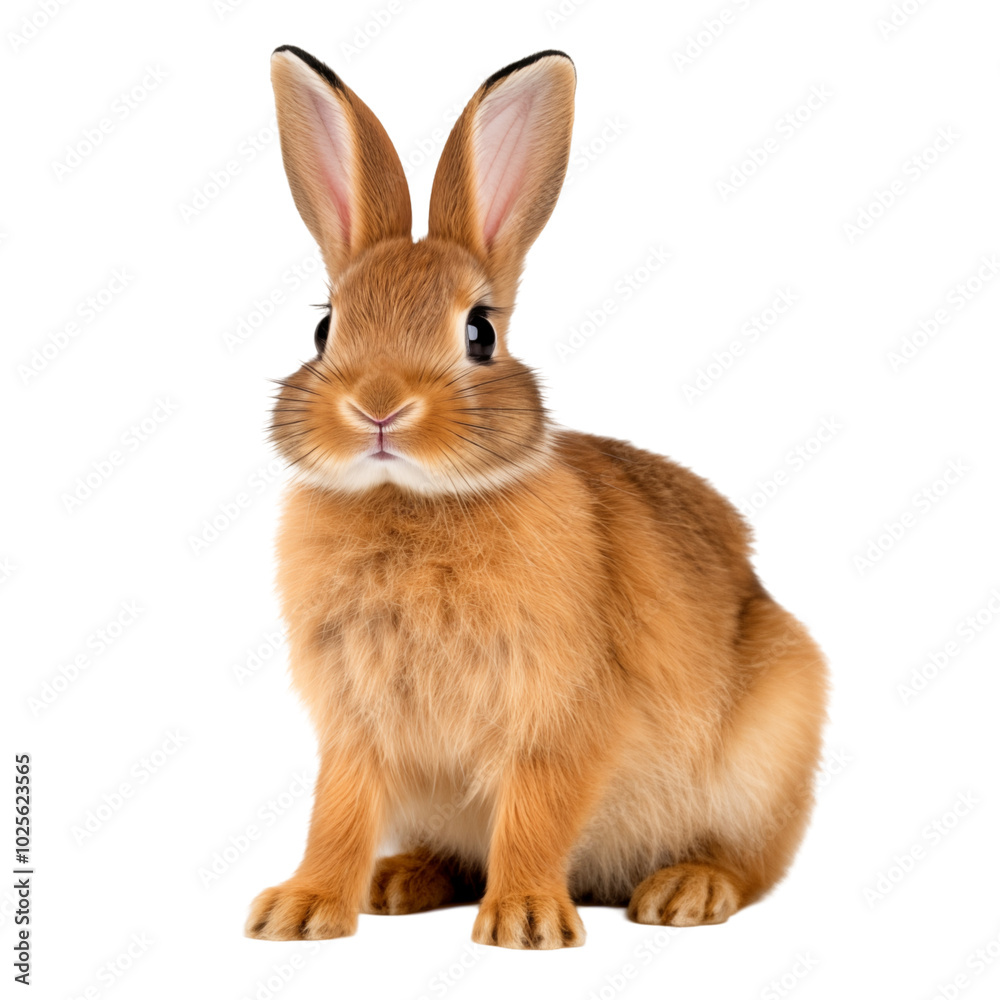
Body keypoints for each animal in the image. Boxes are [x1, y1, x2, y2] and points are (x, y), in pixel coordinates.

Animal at [245, 45, 828, 950]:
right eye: (324, 328)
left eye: (480, 332)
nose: (379, 406)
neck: (413, 501)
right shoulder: (356, 725)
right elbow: (336, 814)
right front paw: (299, 910)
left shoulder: (562, 715)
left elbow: (535, 812)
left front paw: (524, 923)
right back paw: (399, 880)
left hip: (769, 752)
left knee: (749, 863)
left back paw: (683, 893)